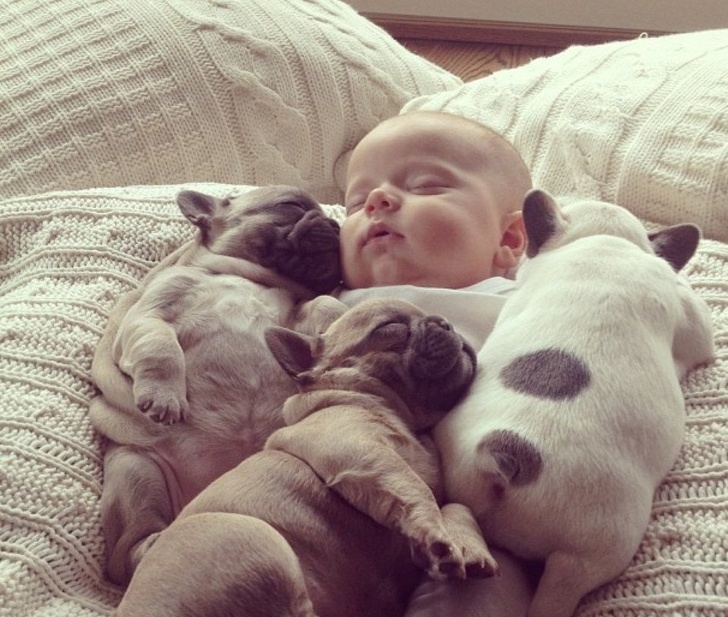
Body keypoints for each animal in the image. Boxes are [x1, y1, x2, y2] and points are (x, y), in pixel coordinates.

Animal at [89, 186, 345, 586]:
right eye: (290, 206)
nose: (336, 225)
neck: (249, 278)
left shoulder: (293, 318)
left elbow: (322, 303)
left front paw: (343, 319)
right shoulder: (150, 314)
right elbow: (159, 348)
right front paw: (163, 396)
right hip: (136, 471)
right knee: (124, 556)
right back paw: (151, 545)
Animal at [114, 298, 498, 617]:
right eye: (390, 327)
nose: (446, 322)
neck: (403, 418)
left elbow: (455, 505)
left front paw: (471, 547)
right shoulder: (358, 452)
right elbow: (413, 488)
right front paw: (435, 536)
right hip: (254, 538)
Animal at [434, 189, 715, 617]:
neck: (604, 240)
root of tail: (507, 454)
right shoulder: (696, 325)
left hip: (461, 482)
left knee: (459, 512)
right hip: (593, 550)